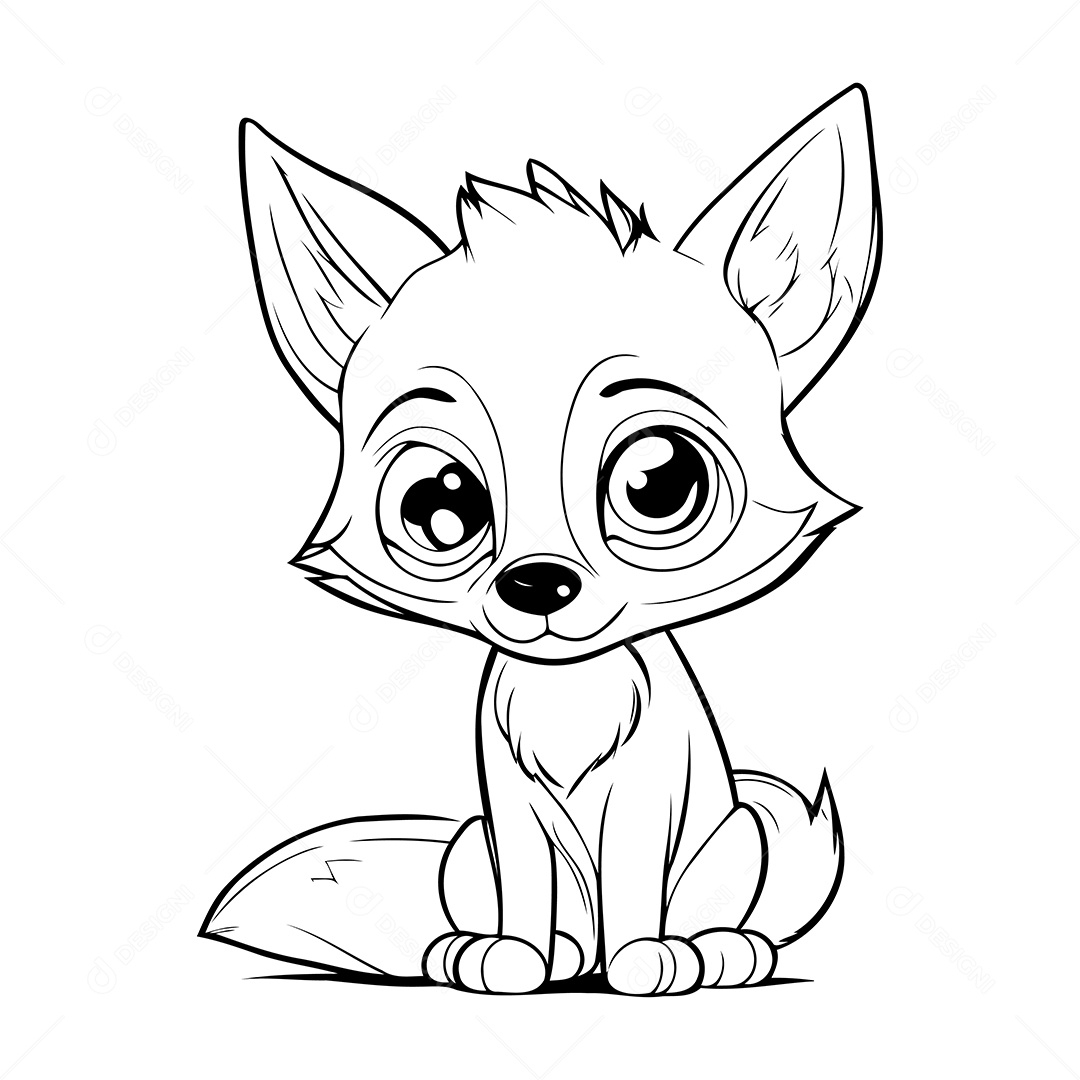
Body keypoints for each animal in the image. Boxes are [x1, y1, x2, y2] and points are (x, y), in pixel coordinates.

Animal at [201, 85, 882, 995]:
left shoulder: (646, 796)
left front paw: (647, 960)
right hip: (467, 848)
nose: (536, 583)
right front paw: (513, 957)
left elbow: (634, 875)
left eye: (661, 482)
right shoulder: (508, 806)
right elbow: (526, 882)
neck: (569, 693)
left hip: (737, 837)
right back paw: (525, 952)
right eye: (438, 503)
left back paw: (708, 951)